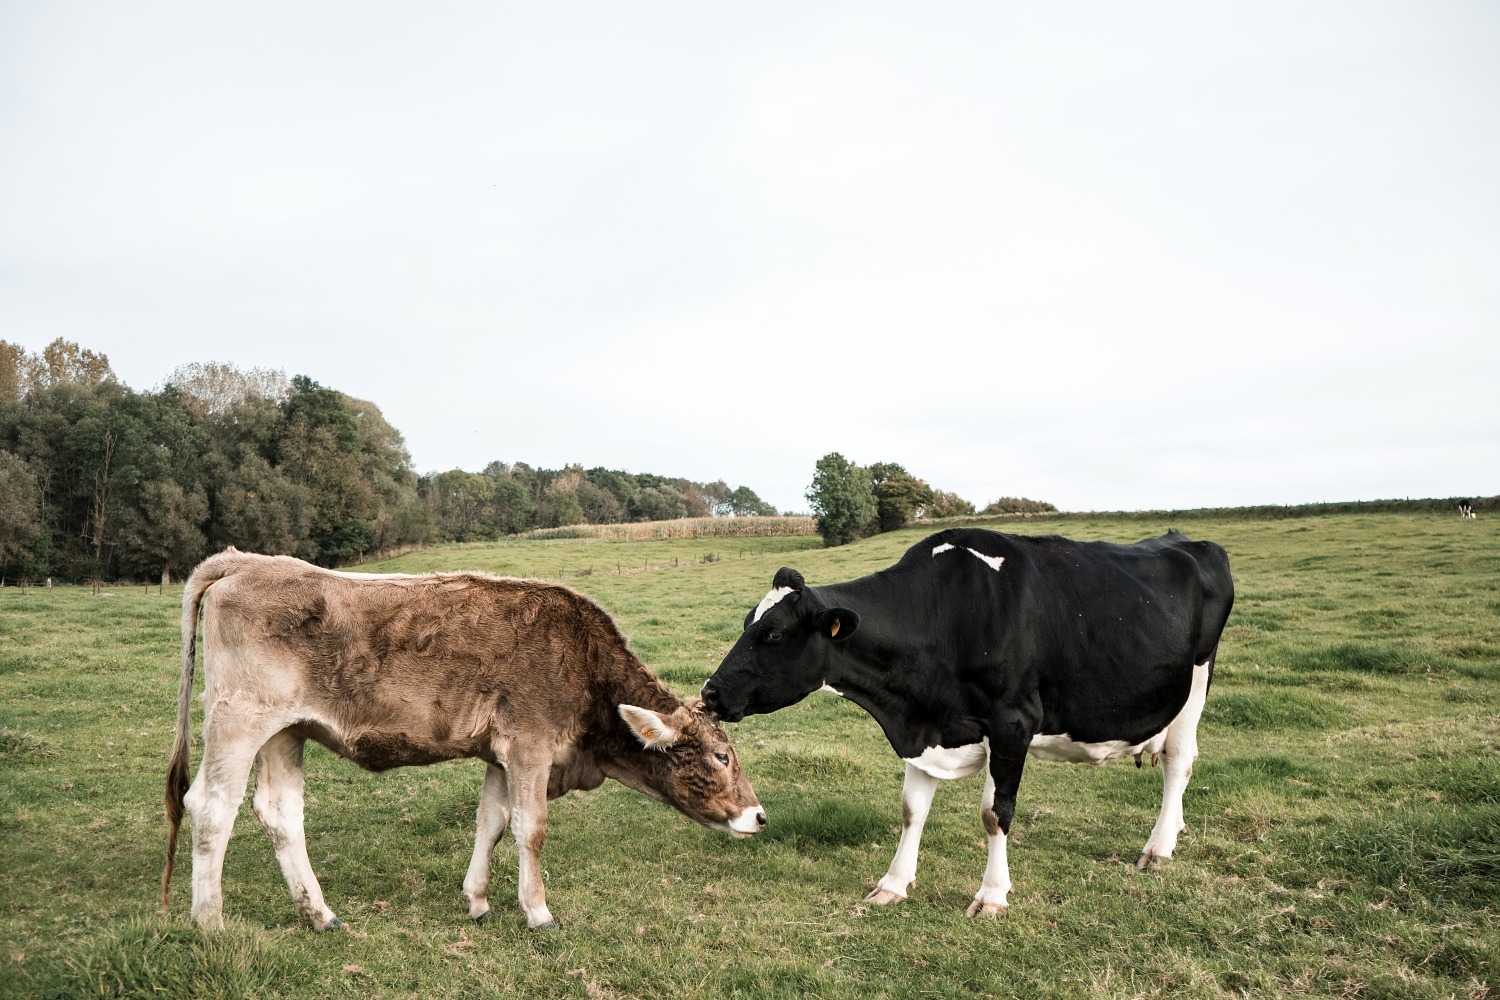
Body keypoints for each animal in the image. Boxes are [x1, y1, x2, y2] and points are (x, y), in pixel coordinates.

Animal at [167, 548, 762, 929]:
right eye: (721, 755)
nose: (759, 816)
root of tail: (244, 561)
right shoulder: (529, 746)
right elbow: (531, 828)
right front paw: (538, 912)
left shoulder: (502, 755)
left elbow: (492, 822)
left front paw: (477, 900)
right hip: (238, 719)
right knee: (211, 806)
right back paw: (210, 921)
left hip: (284, 730)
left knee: (280, 811)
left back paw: (319, 915)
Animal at [699, 527, 1230, 917]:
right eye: (748, 621)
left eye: (774, 633)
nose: (710, 692)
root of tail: (1184, 538)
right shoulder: (923, 727)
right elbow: (912, 811)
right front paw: (892, 884)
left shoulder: (1013, 723)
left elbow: (996, 815)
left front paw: (992, 895)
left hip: (1195, 682)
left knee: (1179, 761)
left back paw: (1159, 847)